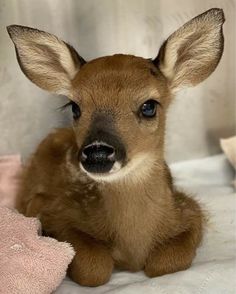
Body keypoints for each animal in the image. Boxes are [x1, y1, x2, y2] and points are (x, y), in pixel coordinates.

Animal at [7, 8, 225, 286]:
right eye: (75, 107)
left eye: (149, 106)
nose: (98, 152)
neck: (133, 246)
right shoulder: (53, 209)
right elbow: (94, 268)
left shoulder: (189, 208)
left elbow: (167, 263)